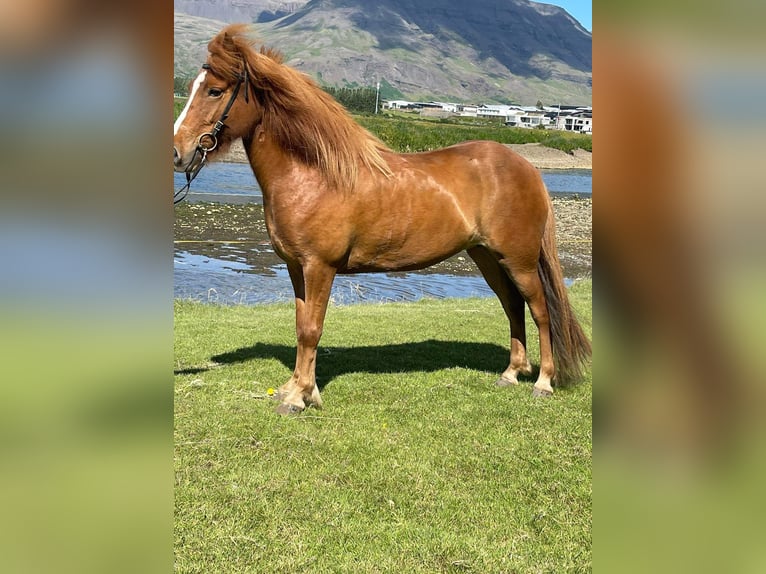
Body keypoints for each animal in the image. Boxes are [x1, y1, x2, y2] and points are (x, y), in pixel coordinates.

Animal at [173, 24, 591, 415]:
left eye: (214, 91)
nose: (178, 152)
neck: (315, 174)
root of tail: (527, 167)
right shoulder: (295, 267)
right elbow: (300, 325)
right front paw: (302, 389)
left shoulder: (319, 267)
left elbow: (311, 329)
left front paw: (298, 397)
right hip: (487, 257)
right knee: (513, 306)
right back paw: (510, 373)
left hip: (519, 260)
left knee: (540, 311)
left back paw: (543, 382)